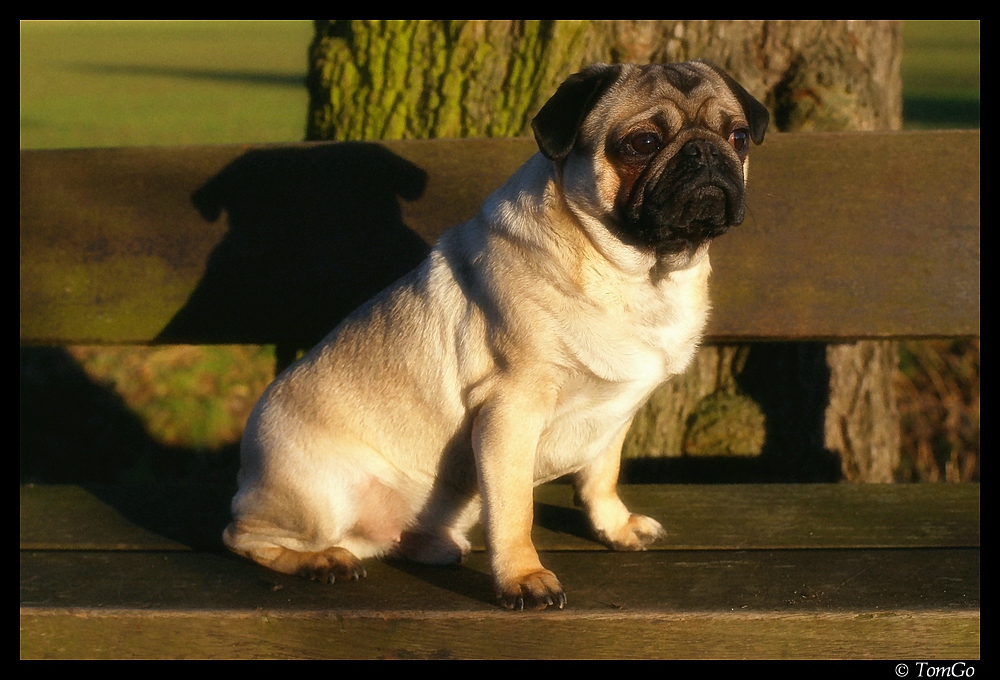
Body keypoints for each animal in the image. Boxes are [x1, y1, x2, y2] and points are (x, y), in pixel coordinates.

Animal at [227, 61, 768, 608]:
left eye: (739, 137)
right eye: (642, 143)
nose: (705, 152)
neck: (640, 275)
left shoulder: (614, 414)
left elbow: (601, 478)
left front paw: (615, 528)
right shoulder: (511, 411)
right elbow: (514, 510)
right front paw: (523, 578)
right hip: (320, 496)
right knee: (243, 536)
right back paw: (323, 561)